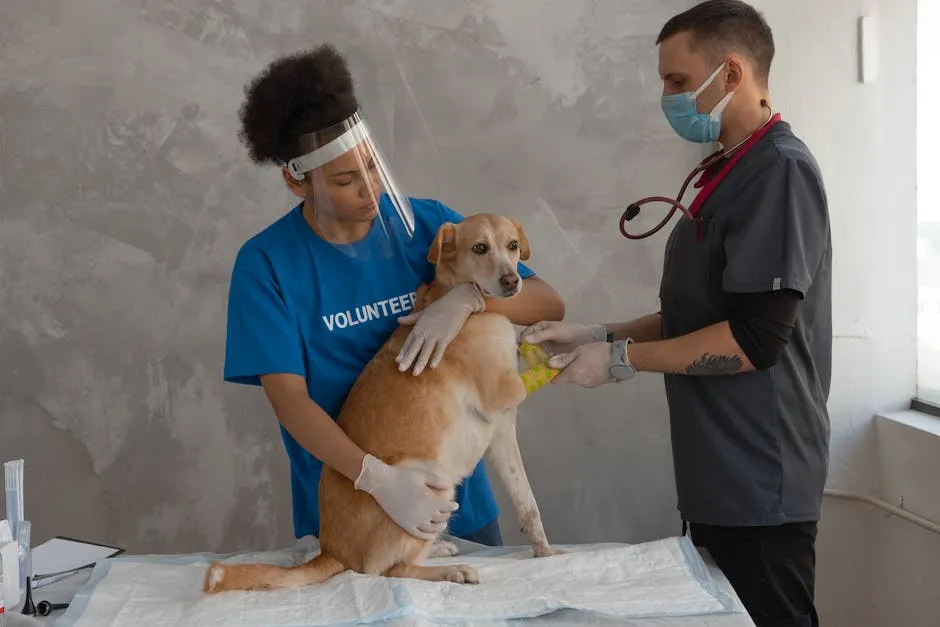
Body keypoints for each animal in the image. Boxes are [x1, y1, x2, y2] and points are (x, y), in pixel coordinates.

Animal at [204, 213, 560, 592]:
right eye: (479, 248)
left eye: (512, 246)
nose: (512, 281)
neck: (461, 301)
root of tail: (332, 551)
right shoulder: (503, 391)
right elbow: (544, 369)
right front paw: (563, 354)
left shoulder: (502, 435)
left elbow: (528, 502)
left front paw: (545, 551)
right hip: (432, 487)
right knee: (390, 569)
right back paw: (450, 570)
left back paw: (440, 549)